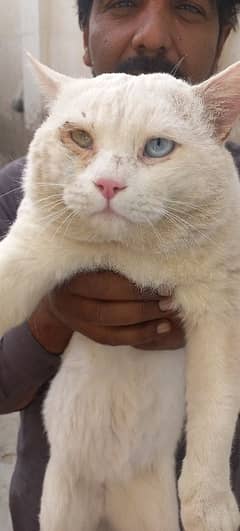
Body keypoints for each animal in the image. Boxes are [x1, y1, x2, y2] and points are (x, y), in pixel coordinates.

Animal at [0, 58, 240, 531]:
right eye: (80, 138)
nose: (108, 184)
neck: (130, 255)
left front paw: (211, 506)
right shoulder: (28, 249)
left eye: (158, 147)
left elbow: (217, 410)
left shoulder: (220, 311)